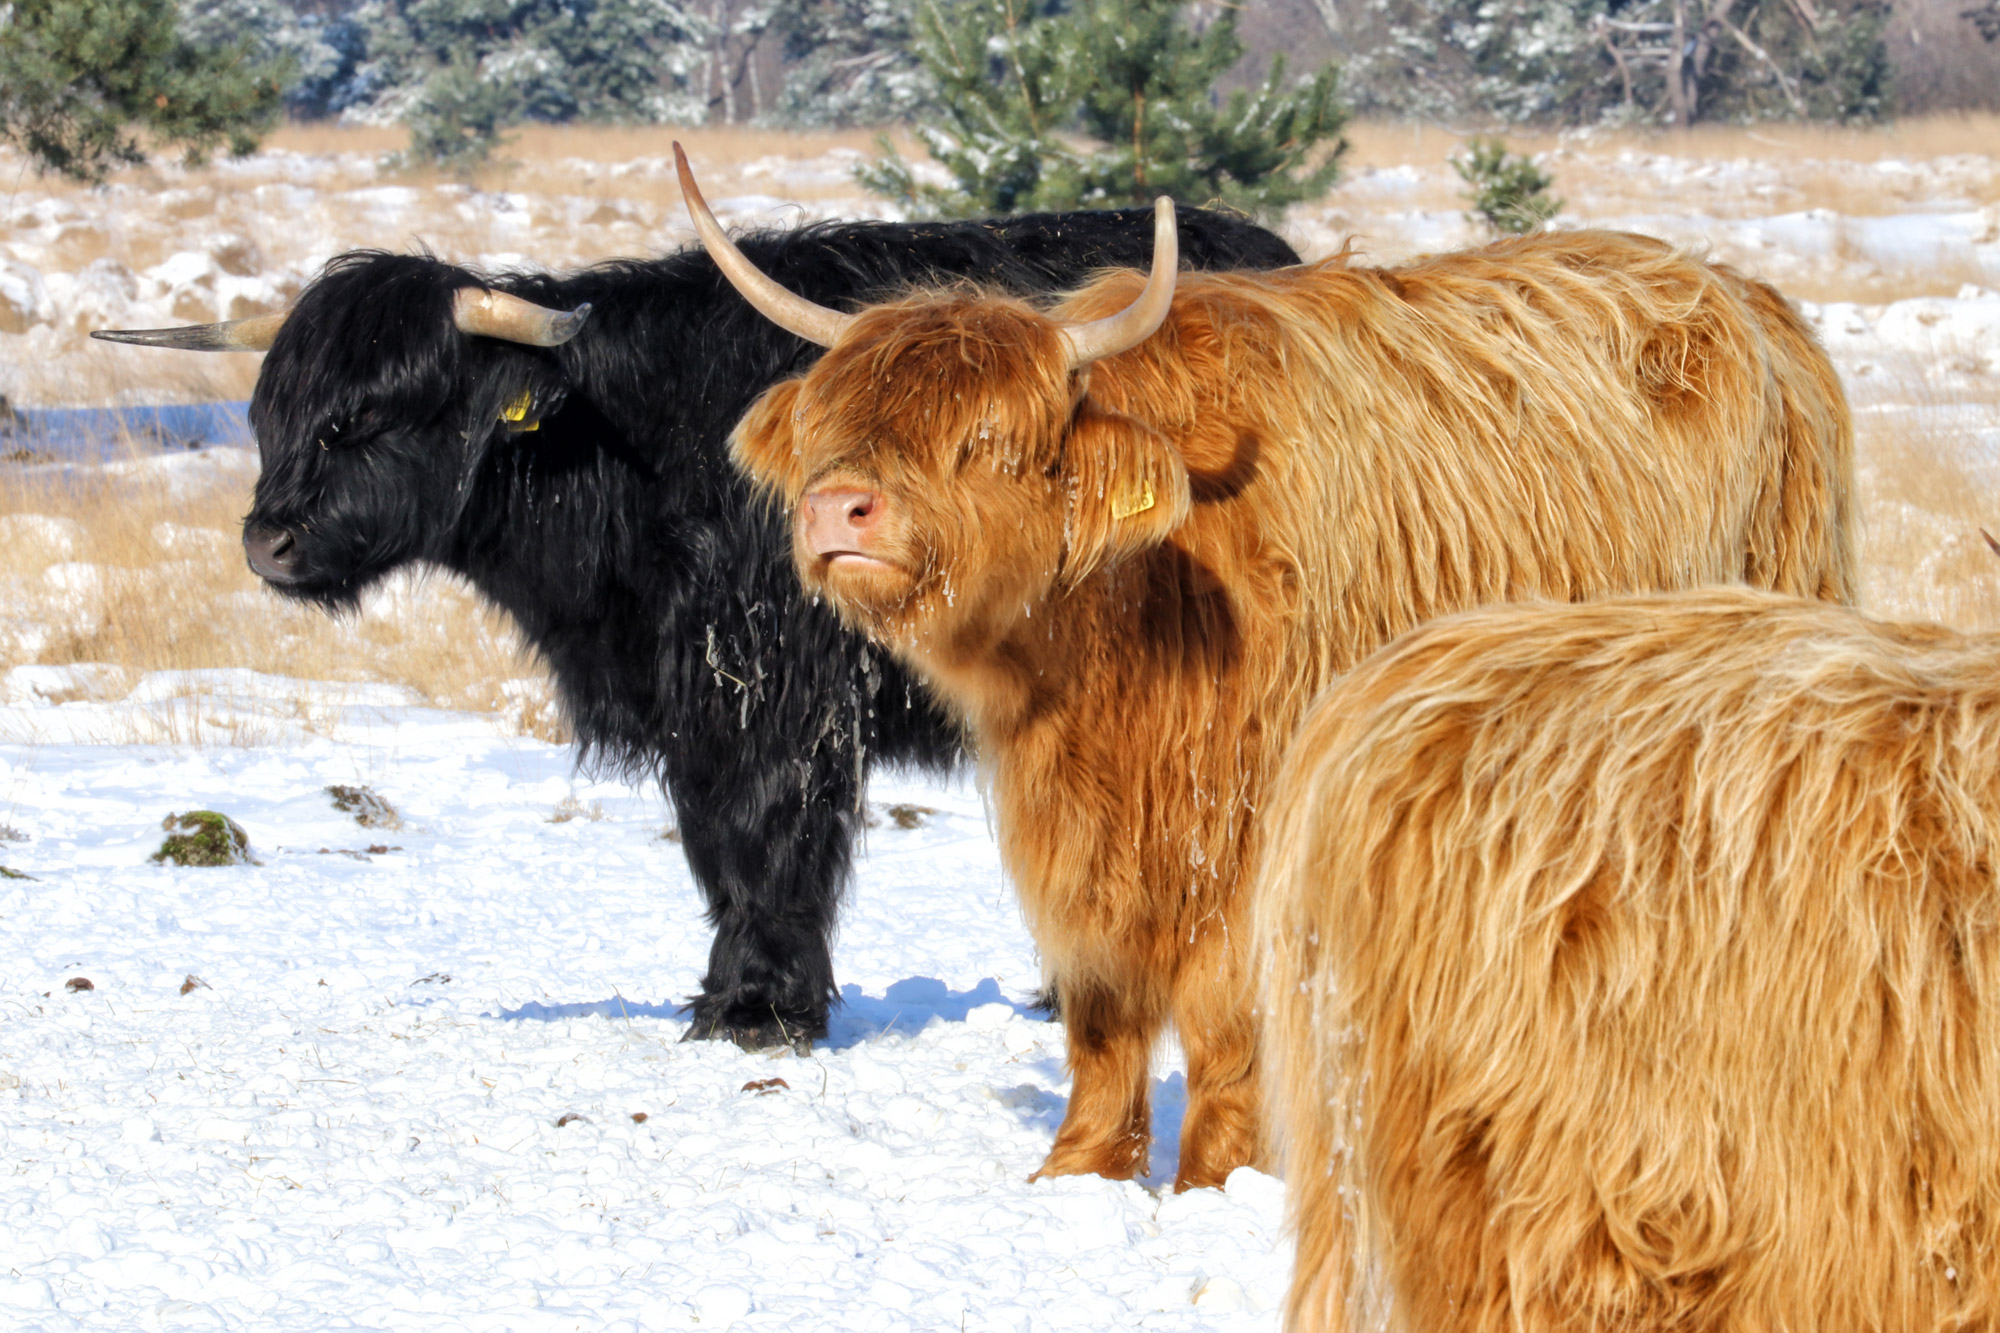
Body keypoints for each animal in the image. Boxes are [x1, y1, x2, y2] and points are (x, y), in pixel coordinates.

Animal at [97, 205, 1296, 1048]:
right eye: (274, 413)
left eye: (371, 416)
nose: (269, 541)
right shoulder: (689, 707)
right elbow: (715, 846)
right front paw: (725, 996)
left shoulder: (776, 692)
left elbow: (770, 837)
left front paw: (763, 1012)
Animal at [676, 145, 1856, 1184]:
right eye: (835, 421)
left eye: (988, 440)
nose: (839, 508)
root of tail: (1750, 298)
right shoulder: (1079, 834)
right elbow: (1100, 1011)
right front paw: (1078, 1169)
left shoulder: (1250, 821)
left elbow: (1219, 1011)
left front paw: (1214, 1178)